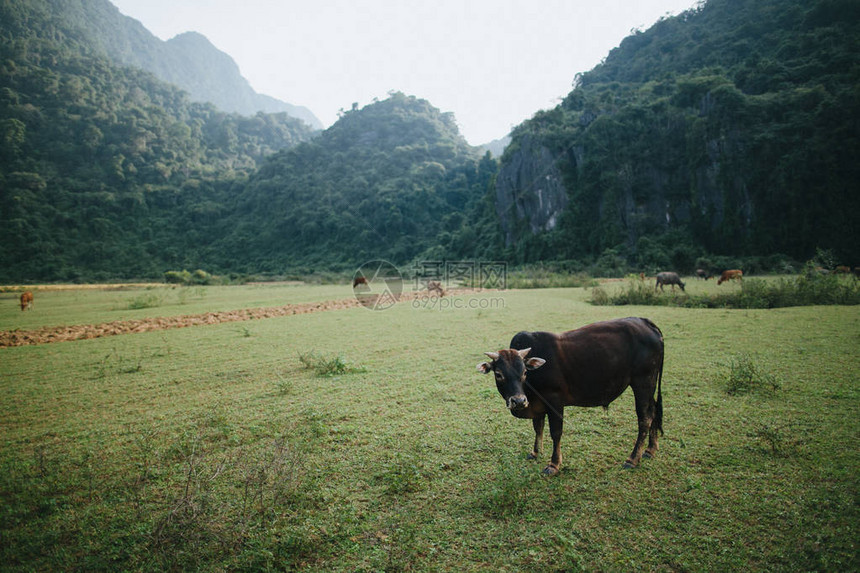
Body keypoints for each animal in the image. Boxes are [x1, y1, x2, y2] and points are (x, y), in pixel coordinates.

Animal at [478, 318, 664, 474]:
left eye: (524, 372)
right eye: (499, 374)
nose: (518, 401)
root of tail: (645, 322)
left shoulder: (554, 401)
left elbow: (556, 432)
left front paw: (554, 464)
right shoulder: (536, 403)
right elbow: (538, 427)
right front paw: (535, 452)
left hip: (643, 383)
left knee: (644, 418)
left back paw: (633, 458)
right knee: (654, 411)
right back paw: (650, 449)